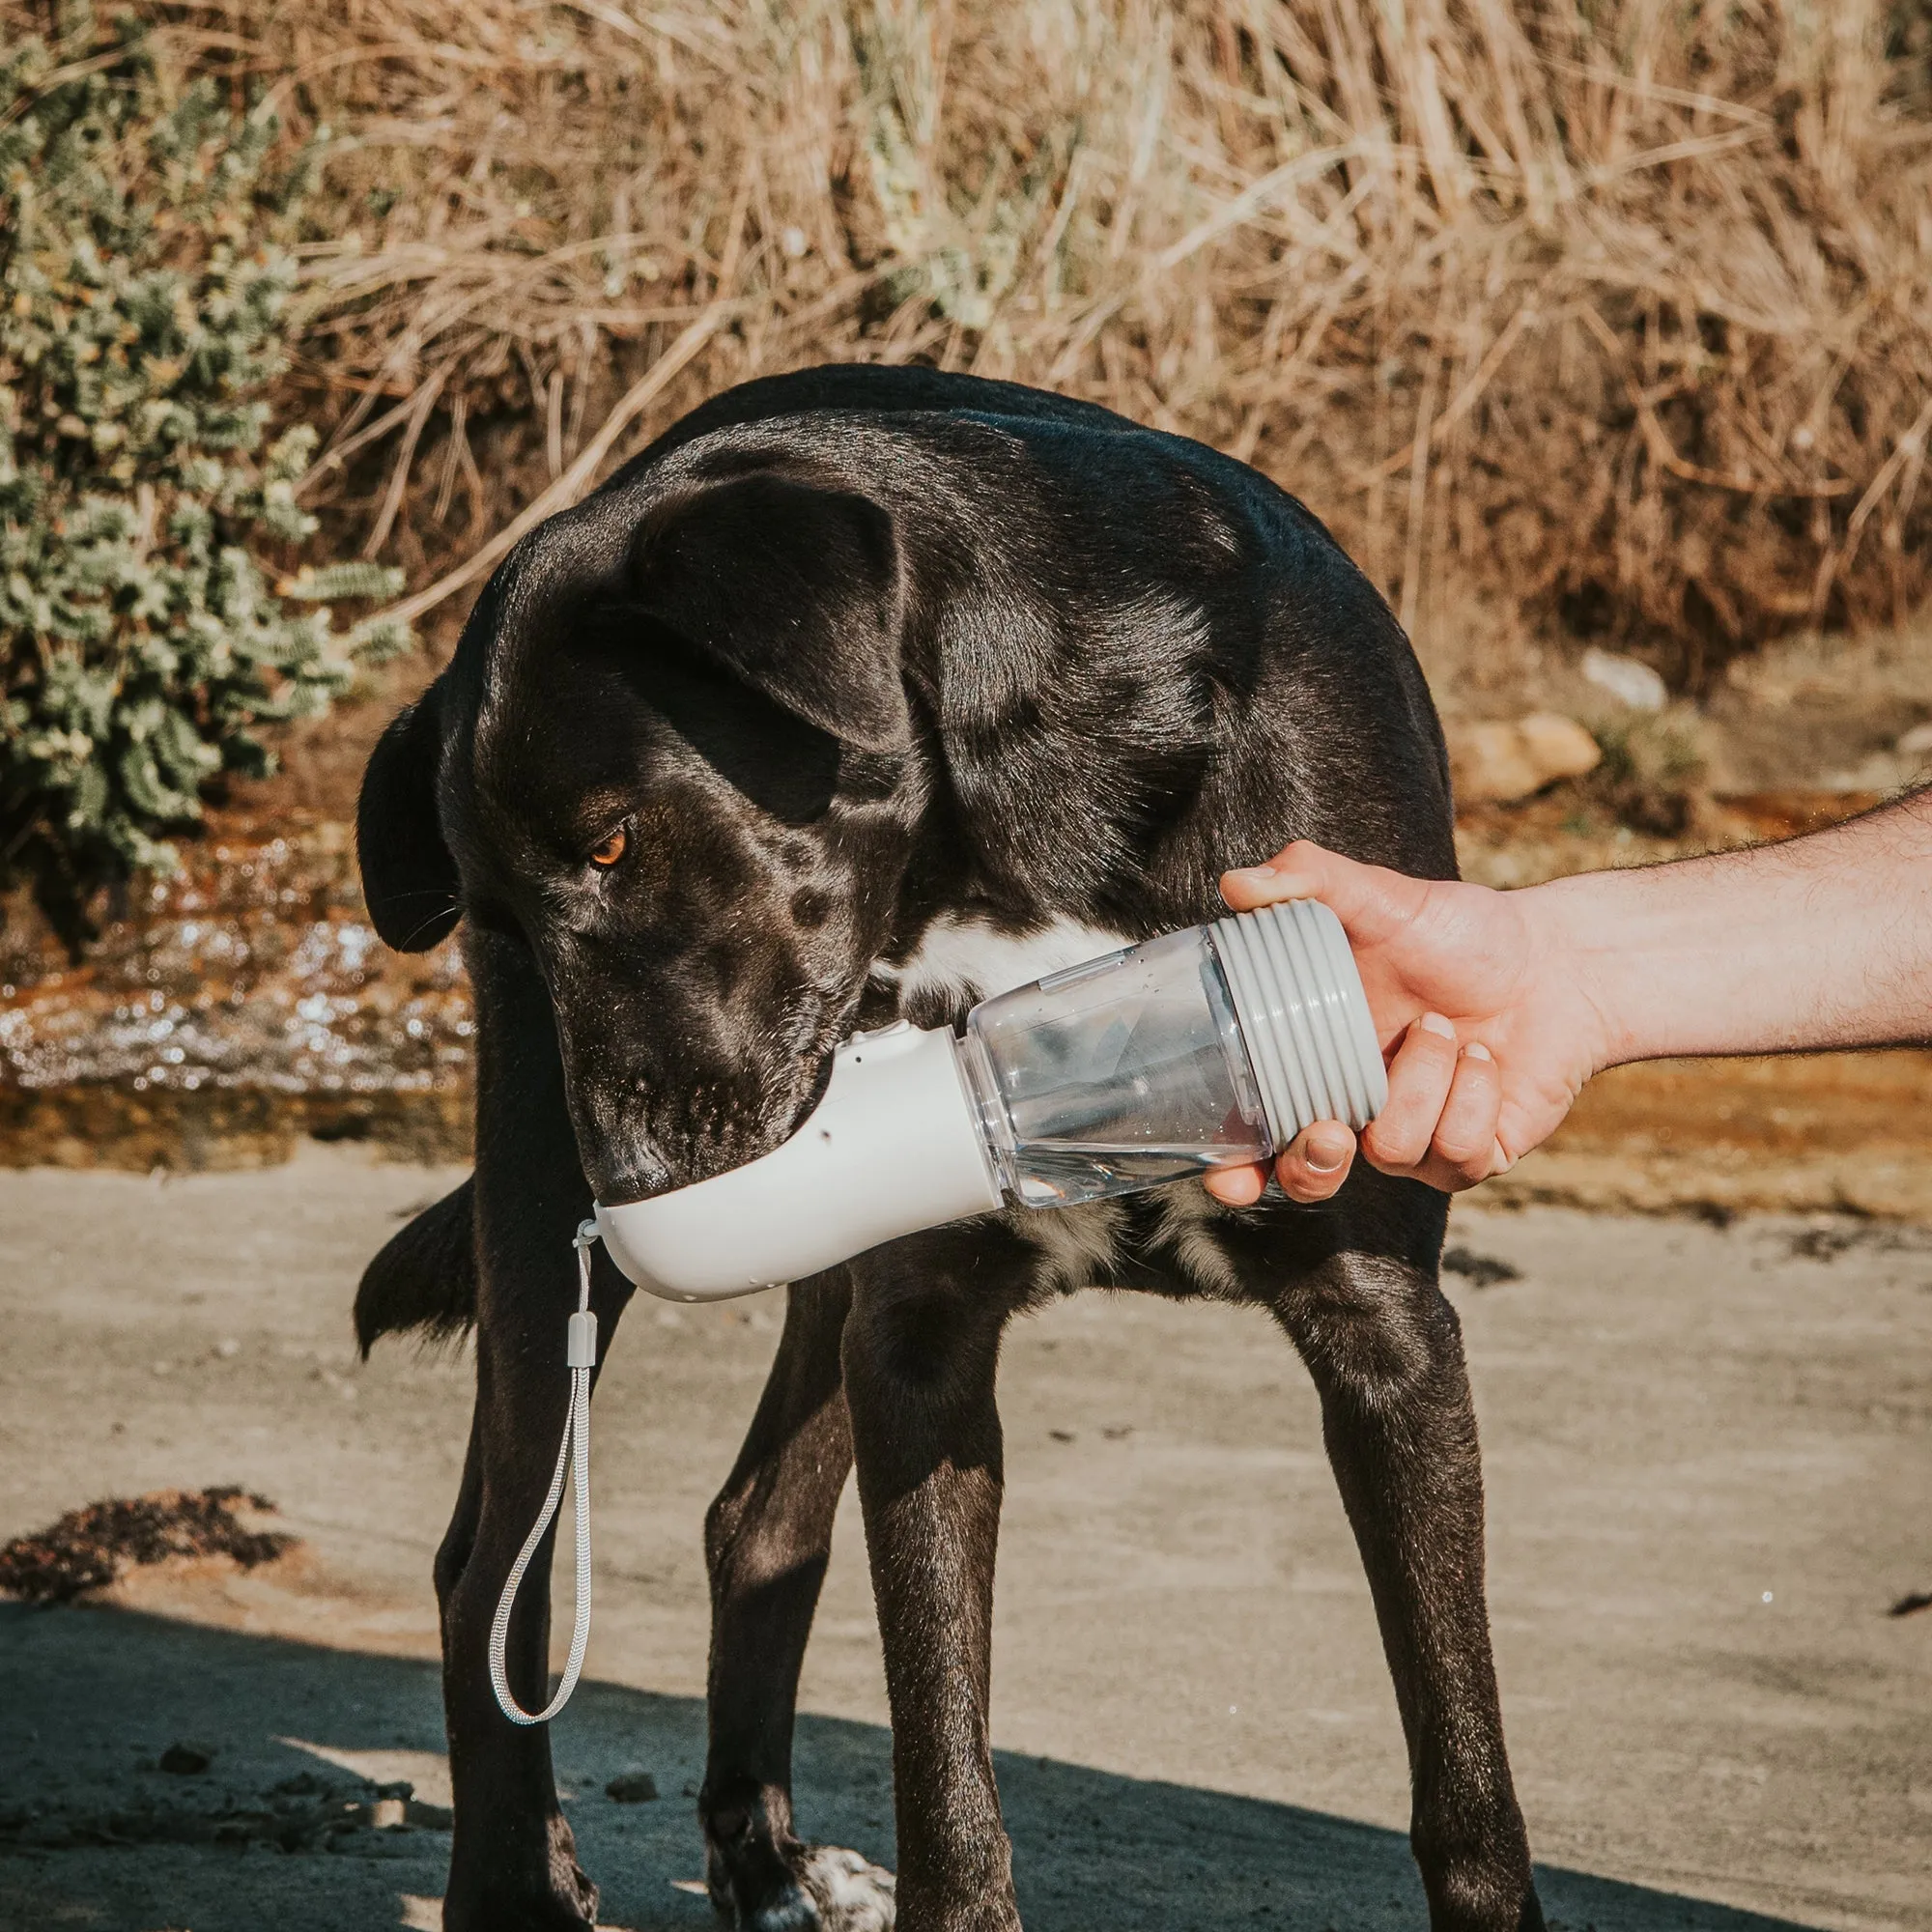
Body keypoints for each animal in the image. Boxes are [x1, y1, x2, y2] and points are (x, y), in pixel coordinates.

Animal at [359, 365, 1538, 1932]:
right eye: (497, 925)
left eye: (613, 846)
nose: (629, 1186)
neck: (1023, 812)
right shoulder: (917, 1335)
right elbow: (943, 1769)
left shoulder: (1385, 1328)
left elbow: (1466, 1779)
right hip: (547, 1219)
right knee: (491, 1556)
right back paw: (521, 1887)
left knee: (755, 1523)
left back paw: (766, 1866)